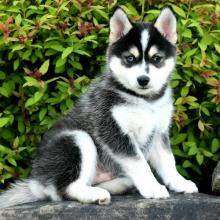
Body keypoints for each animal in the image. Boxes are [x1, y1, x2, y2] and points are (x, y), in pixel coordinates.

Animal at [0, 7, 198, 208]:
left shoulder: (158, 132)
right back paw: (95, 195)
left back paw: (120, 185)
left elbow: (168, 161)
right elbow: (139, 163)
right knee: (65, 189)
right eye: (130, 58)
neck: (144, 100)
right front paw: (152, 187)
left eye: (157, 58)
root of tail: (36, 181)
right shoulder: (112, 129)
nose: (143, 80)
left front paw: (179, 182)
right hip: (78, 138)